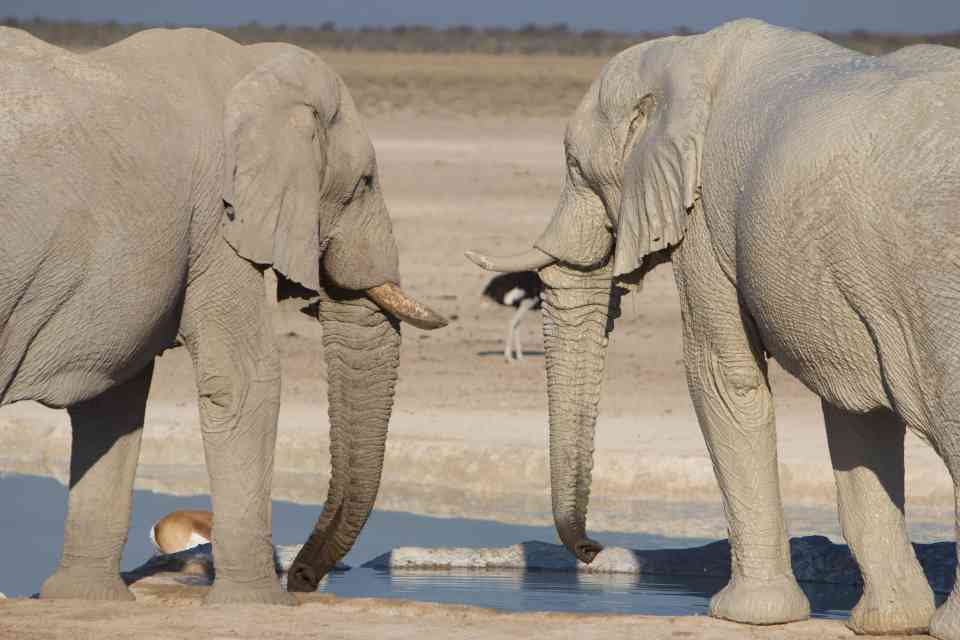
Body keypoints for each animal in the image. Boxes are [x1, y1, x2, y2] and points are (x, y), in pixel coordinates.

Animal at [0, 27, 446, 604]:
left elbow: (112, 392)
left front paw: (83, 599)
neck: (254, 67)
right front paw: (259, 603)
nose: (304, 579)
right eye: (366, 182)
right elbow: (244, 379)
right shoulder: (217, 219)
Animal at [468, 19, 960, 638]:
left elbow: (723, 377)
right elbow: (855, 412)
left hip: (933, 278)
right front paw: (889, 622)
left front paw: (743, 615)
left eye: (576, 168)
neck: (686, 54)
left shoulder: (704, 220)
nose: (591, 550)